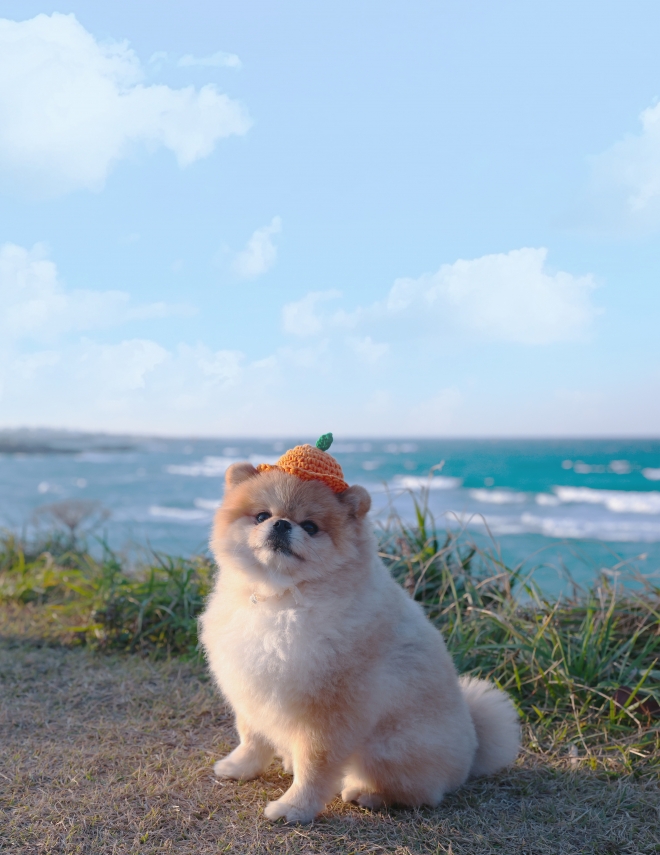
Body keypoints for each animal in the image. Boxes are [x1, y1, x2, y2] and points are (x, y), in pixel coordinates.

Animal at [199, 464, 520, 824]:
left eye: (310, 527)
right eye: (261, 516)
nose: (281, 523)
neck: (282, 597)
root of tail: (473, 747)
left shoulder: (330, 713)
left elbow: (315, 766)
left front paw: (294, 807)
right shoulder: (252, 687)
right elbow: (252, 736)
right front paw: (239, 767)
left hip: (388, 748)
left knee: (419, 793)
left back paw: (367, 793)